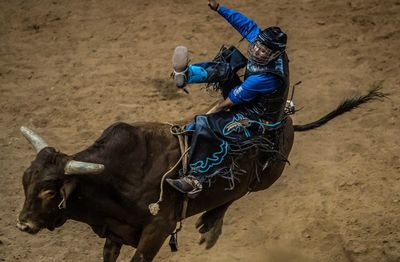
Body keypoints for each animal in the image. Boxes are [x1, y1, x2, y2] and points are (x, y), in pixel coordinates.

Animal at [16, 89, 384, 260]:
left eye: (49, 191)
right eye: (25, 182)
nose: (23, 224)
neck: (115, 179)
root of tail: (287, 118)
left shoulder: (157, 231)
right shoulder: (115, 232)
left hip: (267, 177)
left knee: (239, 193)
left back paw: (211, 226)